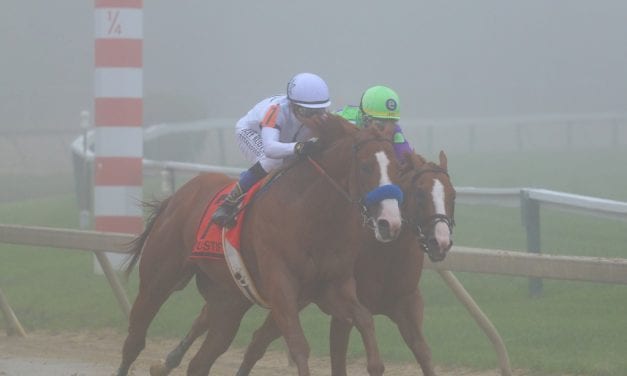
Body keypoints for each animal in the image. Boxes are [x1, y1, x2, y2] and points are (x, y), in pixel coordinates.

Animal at [115, 114, 404, 376]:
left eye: (398, 168)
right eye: (366, 167)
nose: (391, 222)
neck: (311, 213)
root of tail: (177, 197)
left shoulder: (330, 288)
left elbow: (365, 319)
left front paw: (375, 365)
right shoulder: (281, 286)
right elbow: (298, 345)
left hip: (228, 302)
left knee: (200, 362)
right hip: (158, 280)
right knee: (135, 340)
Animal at [152, 151, 456, 374]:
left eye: (452, 195)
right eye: (420, 194)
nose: (440, 242)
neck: (384, 253)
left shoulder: (406, 305)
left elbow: (424, 354)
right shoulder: (339, 312)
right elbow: (337, 358)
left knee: (239, 331)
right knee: (227, 327)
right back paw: (168, 361)